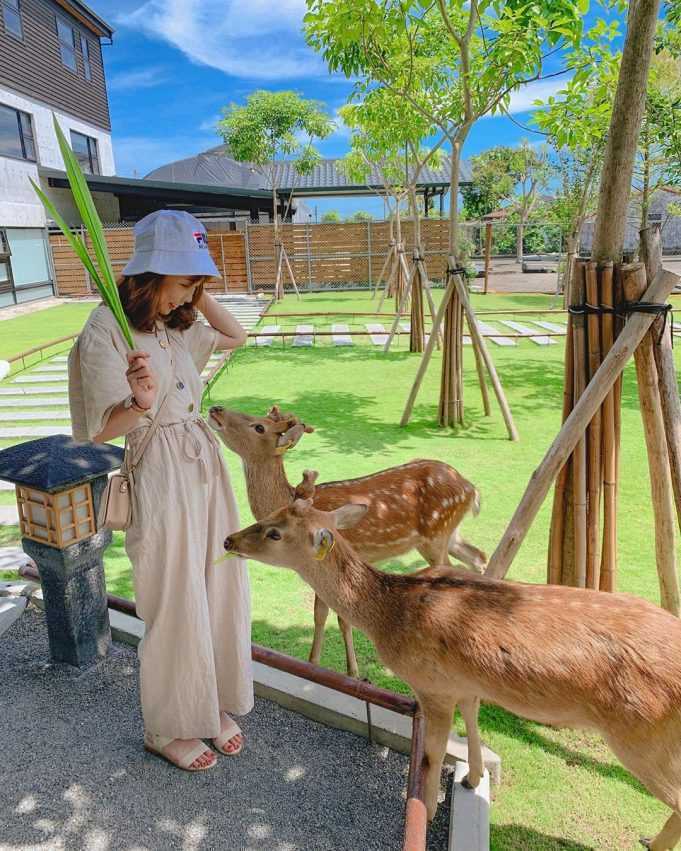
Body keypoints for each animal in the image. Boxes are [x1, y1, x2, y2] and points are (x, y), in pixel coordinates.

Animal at [206, 406, 484, 680]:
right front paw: (314, 664)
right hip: (449, 534)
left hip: (436, 536)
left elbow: (338, 618)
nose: (215, 408)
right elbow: (320, 615)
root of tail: (471, 488)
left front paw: (352, 672)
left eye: (259, 426)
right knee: (477, 555)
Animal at [224, 500, 681, 851]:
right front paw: (473, 779)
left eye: (275, 532)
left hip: (642, 737)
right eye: (275, 512)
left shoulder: (431, 687)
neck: (388, 617)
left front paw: (423, 817)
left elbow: (430, 756)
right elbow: (474, 722)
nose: (229, 540)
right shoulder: (464, 682)